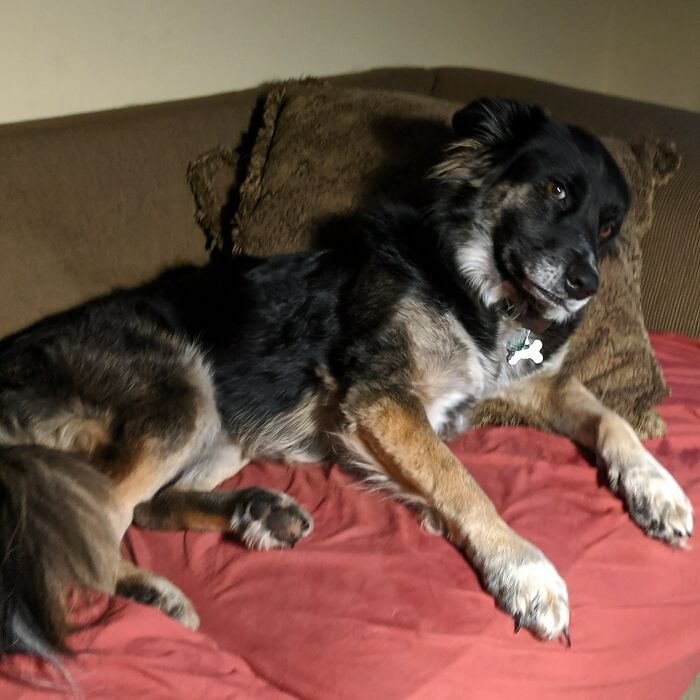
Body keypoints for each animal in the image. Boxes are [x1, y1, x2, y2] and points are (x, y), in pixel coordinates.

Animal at [0, 100, 692, 660]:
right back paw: (152, 588)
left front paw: (659, 490)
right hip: (184, 393)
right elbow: (461, 480)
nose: (586, 286)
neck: (472, 283)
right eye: (555, 190)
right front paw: (523, 568)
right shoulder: (382, 402)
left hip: (223, 424)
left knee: (143, 507)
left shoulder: (532, 384)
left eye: (609, 228)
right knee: (89, 520)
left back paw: (255, 511)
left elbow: (609, 415)